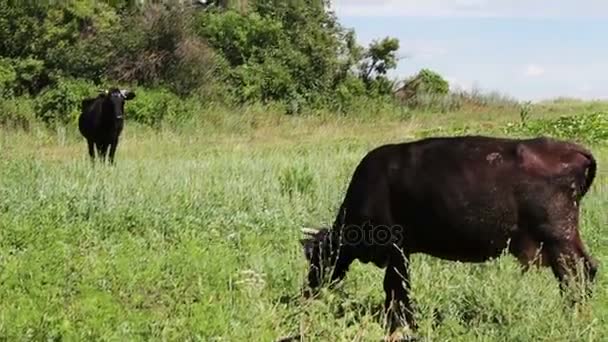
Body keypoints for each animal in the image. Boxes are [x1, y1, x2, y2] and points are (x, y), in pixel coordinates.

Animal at [300, 136, 600, 334]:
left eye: (315, 257)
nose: (307, 290)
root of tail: (573, 149)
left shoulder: (396, 249)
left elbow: (395, 288)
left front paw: (399, 325)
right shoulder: (402, 252)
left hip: (558, 239)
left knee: (575, 276)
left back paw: (573, 316)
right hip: (564, 239)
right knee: (589, 269)